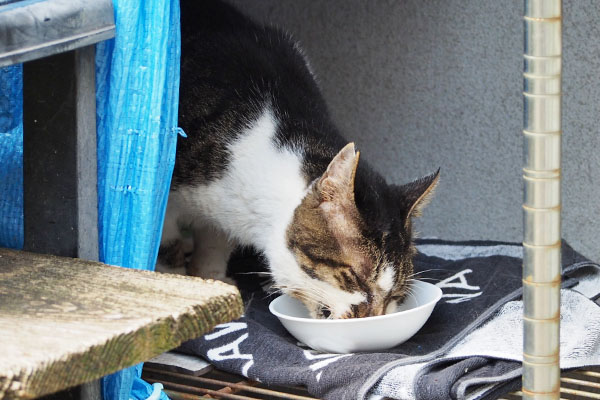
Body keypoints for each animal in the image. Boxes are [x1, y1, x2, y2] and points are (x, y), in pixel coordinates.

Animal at [161, 0, 440, 318]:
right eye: (356, 276)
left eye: (395, 294)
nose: (372, 318)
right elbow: (166, 250)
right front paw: (181, 289)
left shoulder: (219, 221)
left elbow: (214, 245)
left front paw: (214, 282)